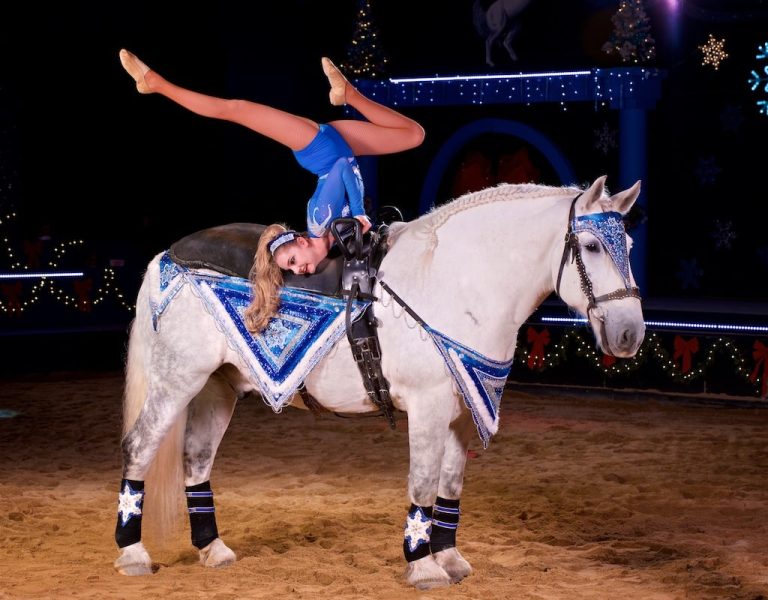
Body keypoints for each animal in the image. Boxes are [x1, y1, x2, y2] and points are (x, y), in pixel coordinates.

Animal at [113, 175, 645, 590]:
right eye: (592, 246)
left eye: (629, 247)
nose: (629, 334)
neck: (454, 281)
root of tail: (167, 255)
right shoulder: (429, 408)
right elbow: (423, 482)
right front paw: (422, 565)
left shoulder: (461, 411)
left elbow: (450, 484)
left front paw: (448, 558)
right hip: (178, 378)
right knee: (140, 445)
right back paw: (133, 553)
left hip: (217, 386)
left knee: (196, 459)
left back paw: (213, 549)